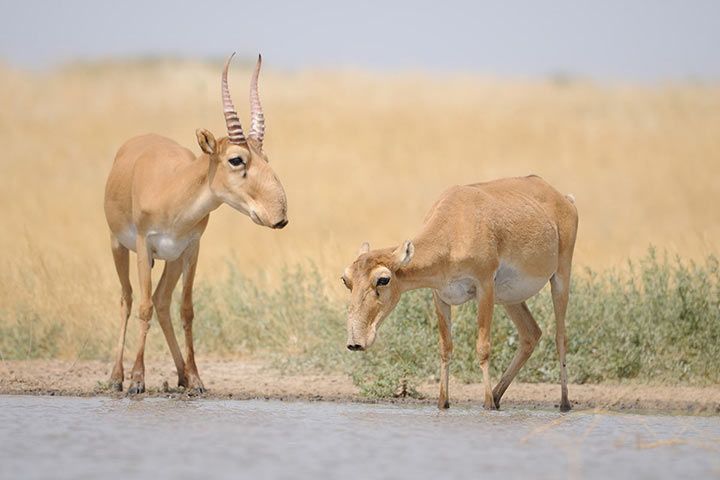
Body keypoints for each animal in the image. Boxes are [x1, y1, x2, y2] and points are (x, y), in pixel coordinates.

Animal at [103, 54, 286, 396]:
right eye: (236, 159)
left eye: (265, 157)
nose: (279, 215)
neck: (173, 189)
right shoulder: (143, 245)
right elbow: (143, 307)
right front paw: (137, 380)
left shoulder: (191, 249)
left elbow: (186, 309)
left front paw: (197, 379)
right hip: (118, 246)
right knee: (128, 299)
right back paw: (117, 377)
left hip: (172, 260)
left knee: (162, 301)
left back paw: (181, 375)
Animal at [344, 176, 580, 412]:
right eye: (346, 279)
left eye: (383, 279)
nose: (355, 342)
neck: (455, 226)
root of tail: (565, 199)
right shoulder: (440, 296)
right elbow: (445, 347)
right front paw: (443, 403)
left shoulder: (485, 286)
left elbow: (483, 347)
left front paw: (487, 404)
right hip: (510, 298)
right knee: (531, 333)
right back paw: (498, 395)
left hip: (560, 278)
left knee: (561, 337)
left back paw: (564, 402)